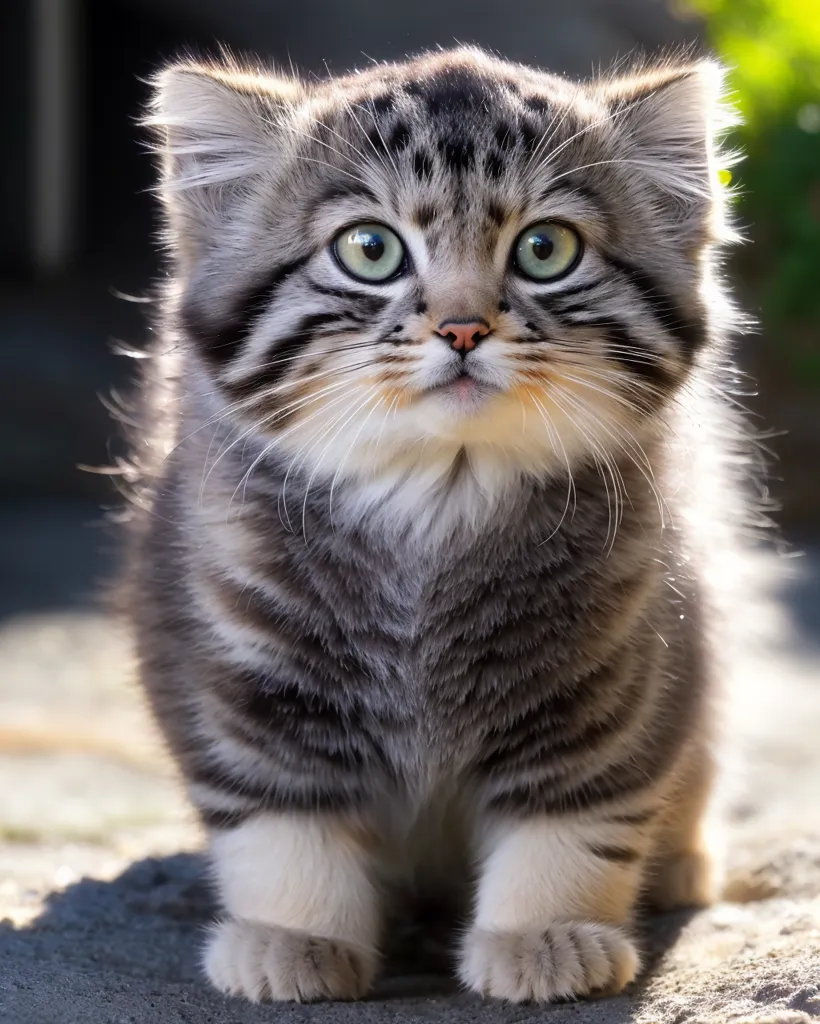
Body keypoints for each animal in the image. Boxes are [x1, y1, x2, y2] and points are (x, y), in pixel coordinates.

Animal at [124, 46, 745, 999]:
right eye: (370, 249)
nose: (462, 327)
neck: (437, 504)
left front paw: (545, 934)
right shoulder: (232, 667)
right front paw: (292, 934)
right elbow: (282, 826)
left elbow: (573, 822)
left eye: (545, 249)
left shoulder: (626, 670)